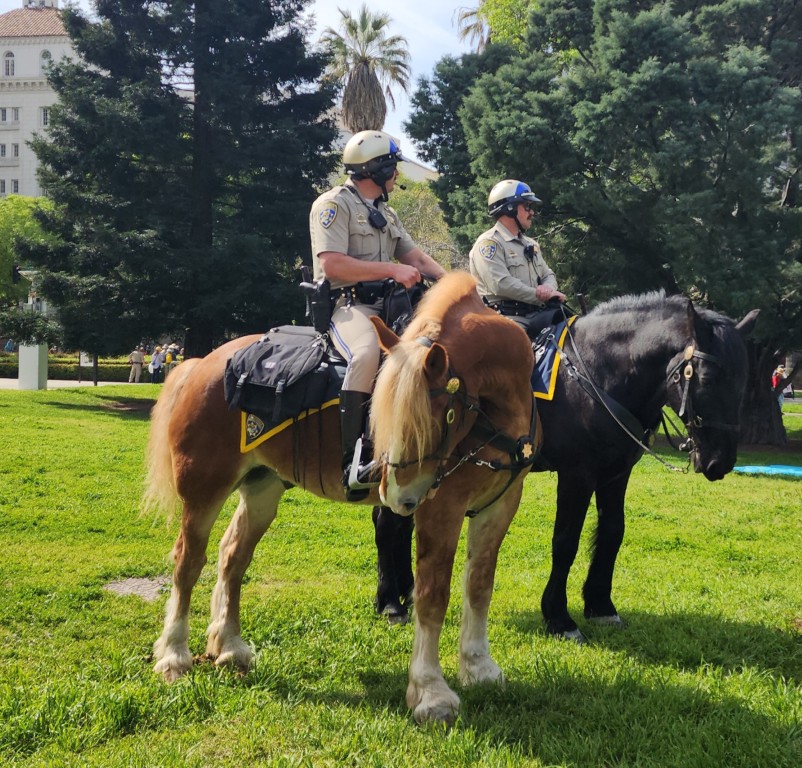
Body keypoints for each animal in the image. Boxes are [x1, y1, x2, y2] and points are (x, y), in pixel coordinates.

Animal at [143, 270, 537, 725]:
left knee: (232, 556)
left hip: (262, 488)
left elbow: (479, 586)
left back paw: (229, 646)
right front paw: (430, 691)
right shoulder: (441, 510)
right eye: (385, 415)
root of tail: (200, 363)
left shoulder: (500, 506)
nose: (398, 495)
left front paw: (479, 667)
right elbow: (432, 596)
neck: (496, 416)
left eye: (440, 418)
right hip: (204, 489)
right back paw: (174, 656)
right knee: (188, 562)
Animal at [372, 291, 759, 641]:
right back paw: (390, 602)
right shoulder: (577, 475)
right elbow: (566, 541)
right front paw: (559, 616)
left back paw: (405, 591)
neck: (598, 373)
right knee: (388, 521)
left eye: (743, 381)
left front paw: (601, 605)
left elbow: (613, 532)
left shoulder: (617, 473)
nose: (720, 462)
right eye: (708, 379)